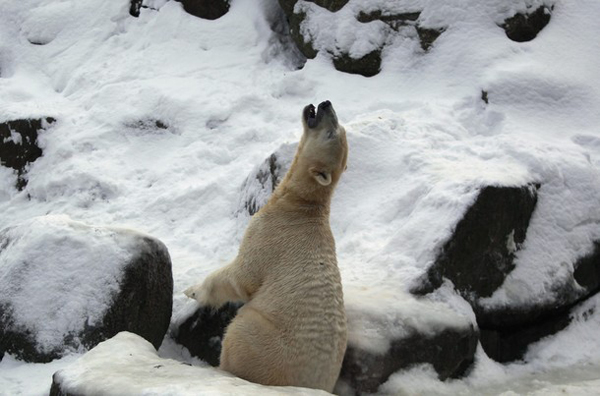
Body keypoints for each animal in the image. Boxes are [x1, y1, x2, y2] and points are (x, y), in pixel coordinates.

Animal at [185, 100, 350, 392]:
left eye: (333, 132)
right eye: (340, 127)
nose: (325, 103)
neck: (300, 207)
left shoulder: (268, 236)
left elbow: (241, 276)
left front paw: (193, 290)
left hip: (263, 339)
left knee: (239, 331)